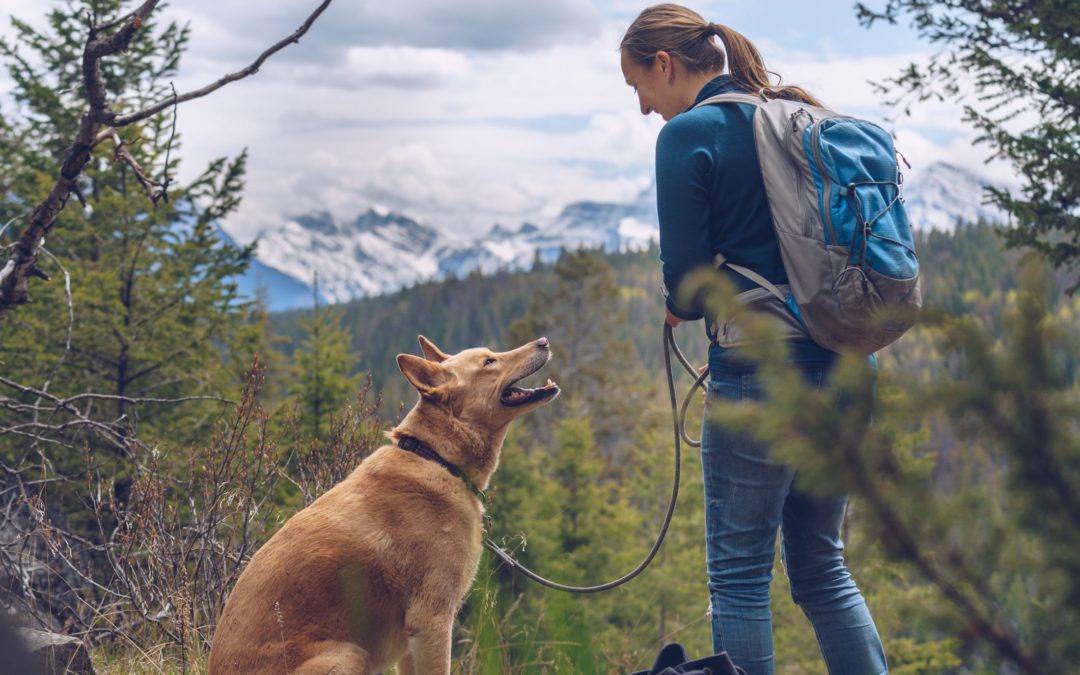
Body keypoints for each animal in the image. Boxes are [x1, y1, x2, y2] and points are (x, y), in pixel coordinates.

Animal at [208, 334, 557, 669]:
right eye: (489, 362)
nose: (543, 341)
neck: (438, 457)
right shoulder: (432, 620)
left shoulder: (410, 645)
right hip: (350, 655)